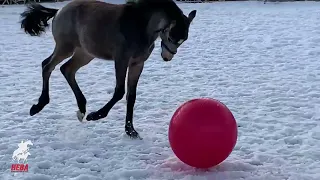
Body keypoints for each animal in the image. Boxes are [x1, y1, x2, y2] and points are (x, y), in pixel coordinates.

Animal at [20, 0, 196, 139]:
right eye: (171, 37)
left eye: (183, 40)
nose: (167, 57)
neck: (140, 26)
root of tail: (59, 11)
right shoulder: (121, 60)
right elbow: (119, 91)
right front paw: (95, 115)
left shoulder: (137, 64)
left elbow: (131, 96)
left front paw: (131, 130)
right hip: (66, 47)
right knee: (47, 66)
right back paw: (39, 106)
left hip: (85, 53)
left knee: (66, 69)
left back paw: (81, 109)